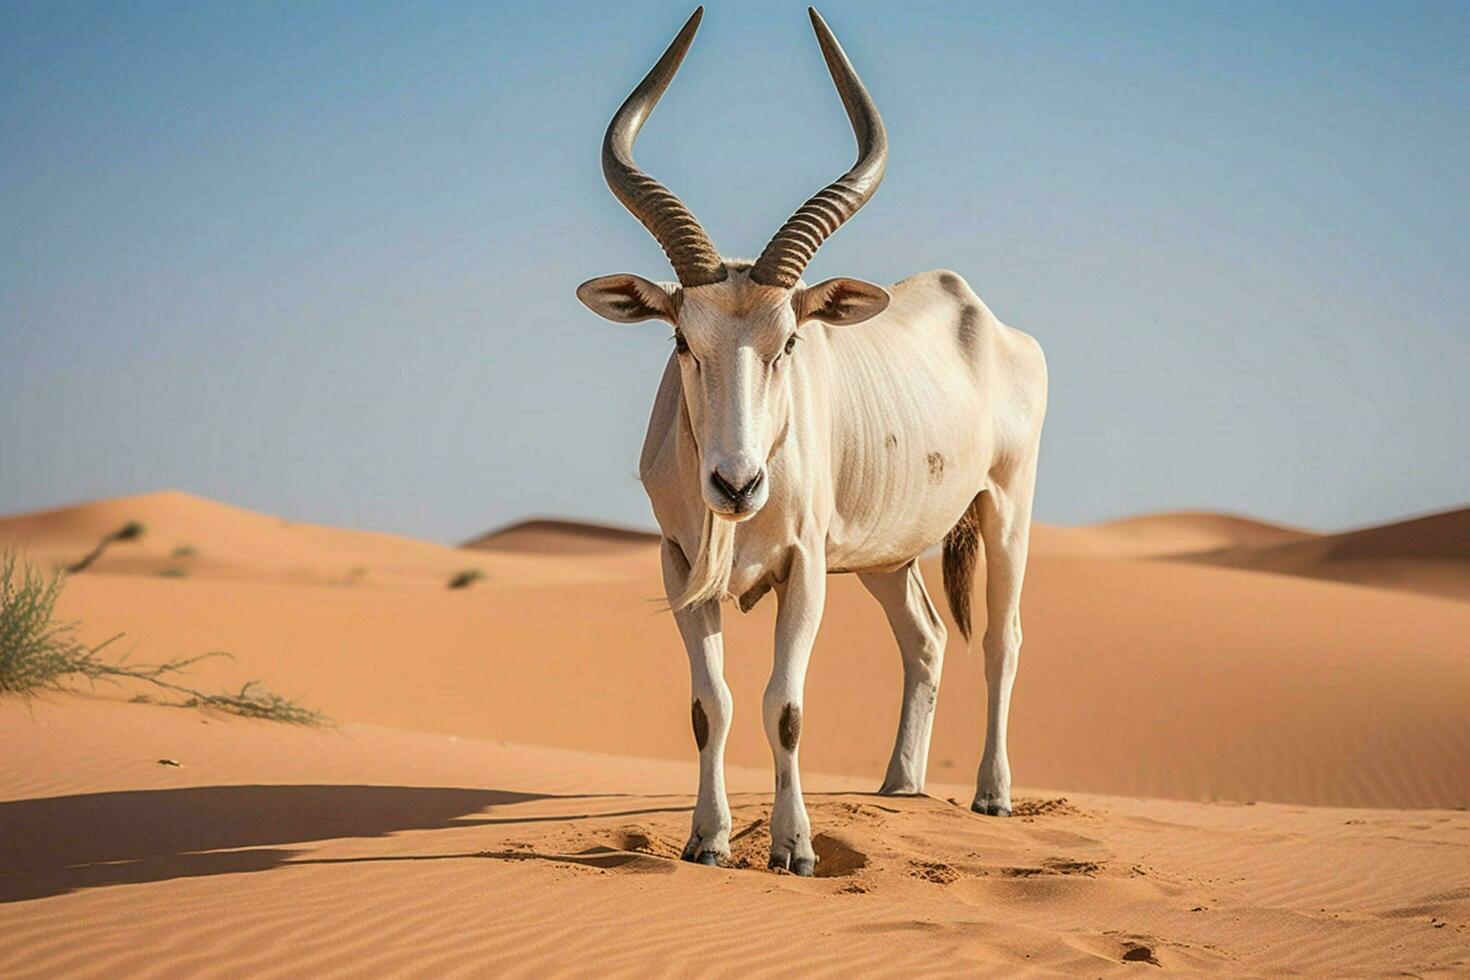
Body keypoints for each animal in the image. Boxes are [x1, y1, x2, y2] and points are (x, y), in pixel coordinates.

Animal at [579, 7, 1052, 875]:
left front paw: (794, 848)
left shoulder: (804, 567)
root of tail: (987, 318)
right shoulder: (679, 564)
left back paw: (992, 795)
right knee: (926, 638)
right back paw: (900, 785)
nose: (735, 486)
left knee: (1002, 638)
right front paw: (708, 839)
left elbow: (785, 706)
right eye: (682, 342)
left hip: (1007, 507)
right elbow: (710, 705)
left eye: (791, 340)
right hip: (887, 557)